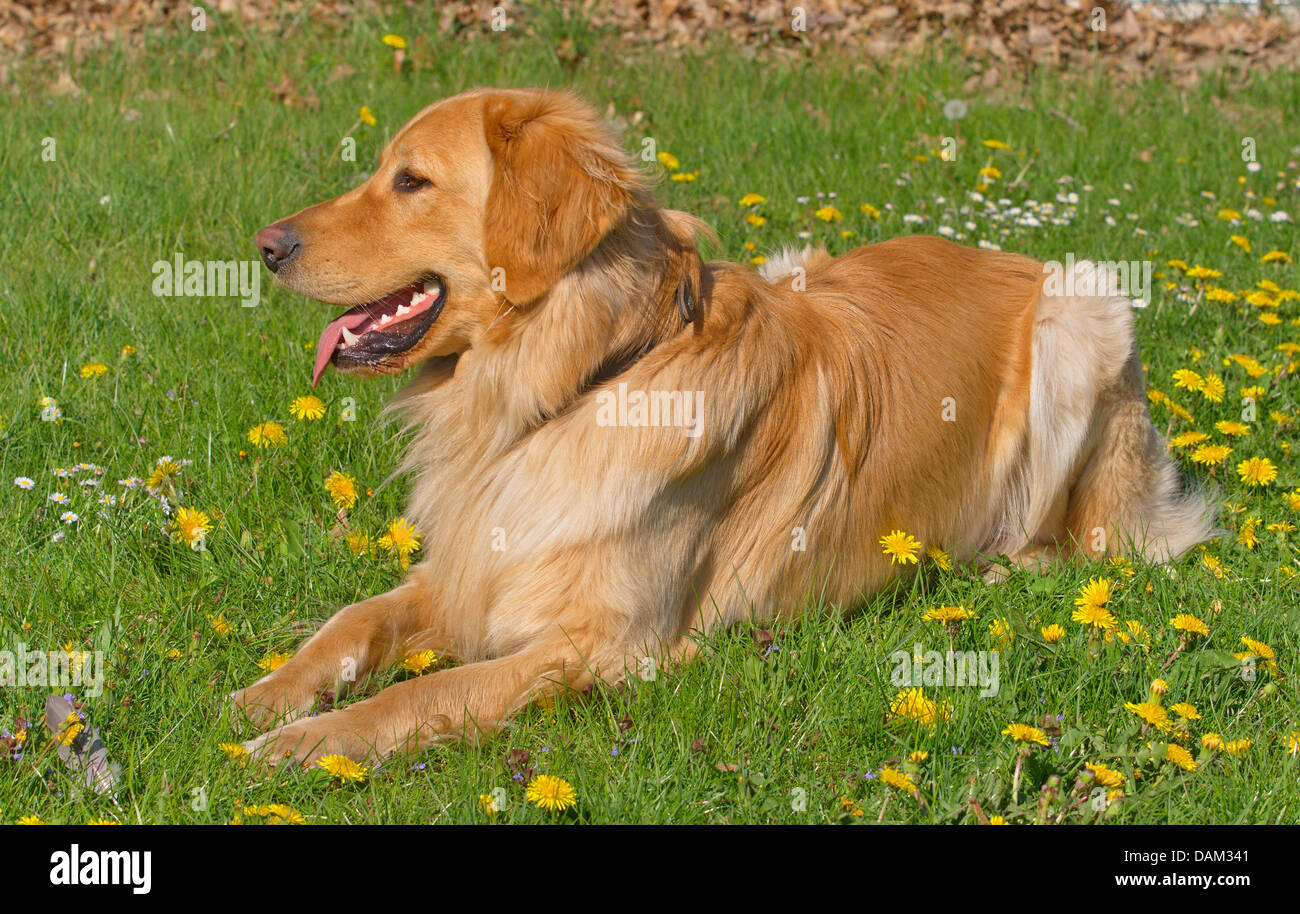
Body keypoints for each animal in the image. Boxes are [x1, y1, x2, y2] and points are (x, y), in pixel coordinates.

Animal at [228, 89, 1211, 764]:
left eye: (411, 181)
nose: (266, 245)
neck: (573, 386)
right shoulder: (473, 569)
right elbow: (351, 624)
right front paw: (262, 700)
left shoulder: (607, 644)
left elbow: (428, 696)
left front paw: (307, 745)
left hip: (1085, 312)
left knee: (1088, 543)